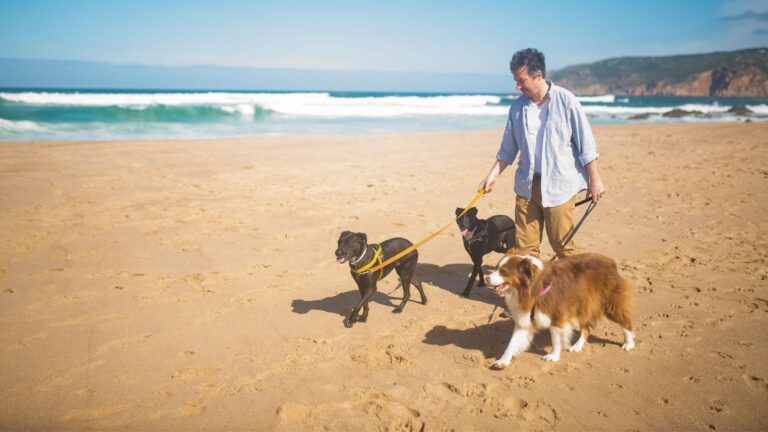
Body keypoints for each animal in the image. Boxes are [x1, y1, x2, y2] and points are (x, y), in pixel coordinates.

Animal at [486, 250, 636, 368]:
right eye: (496, 268)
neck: (534, 288)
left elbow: (556, 339)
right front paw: (503, 361)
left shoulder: (557, 316)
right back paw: (577, 346)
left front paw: (553, 356)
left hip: (611, 304)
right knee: (585, 329)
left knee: (626, 323)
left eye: (504, 272)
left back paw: (628, 344)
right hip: (583, 305)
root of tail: (610, 262)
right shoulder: (525, 319)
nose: (486, 278)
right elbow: (512, 343)